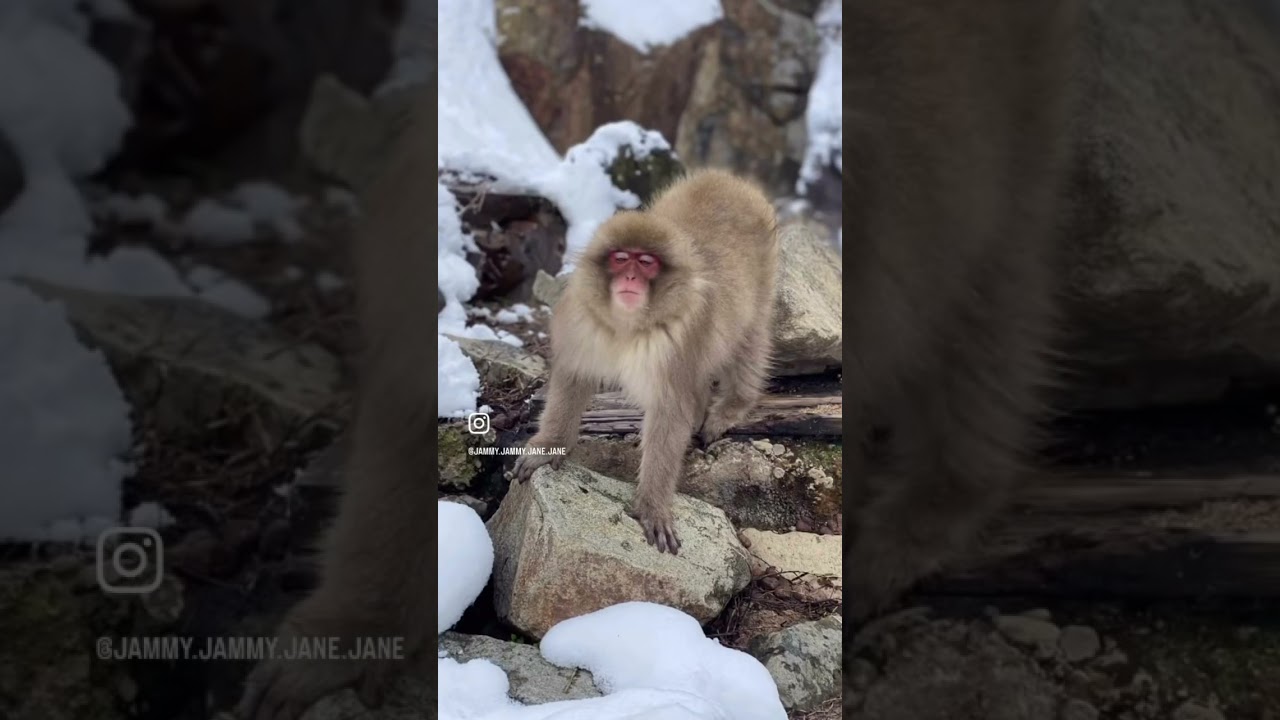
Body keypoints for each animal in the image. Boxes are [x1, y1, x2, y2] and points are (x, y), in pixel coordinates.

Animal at [511, 168, 779, 555]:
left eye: (647, 262)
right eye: (622, 258)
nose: (630, 278)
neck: (631, 326)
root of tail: (726, 179)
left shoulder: (679, 337)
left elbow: (670, 408)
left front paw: (653, 505)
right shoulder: (585, 318)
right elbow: (574, 377)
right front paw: (549, 446)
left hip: (763, 277)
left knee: (749, 337)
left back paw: (732, 405)